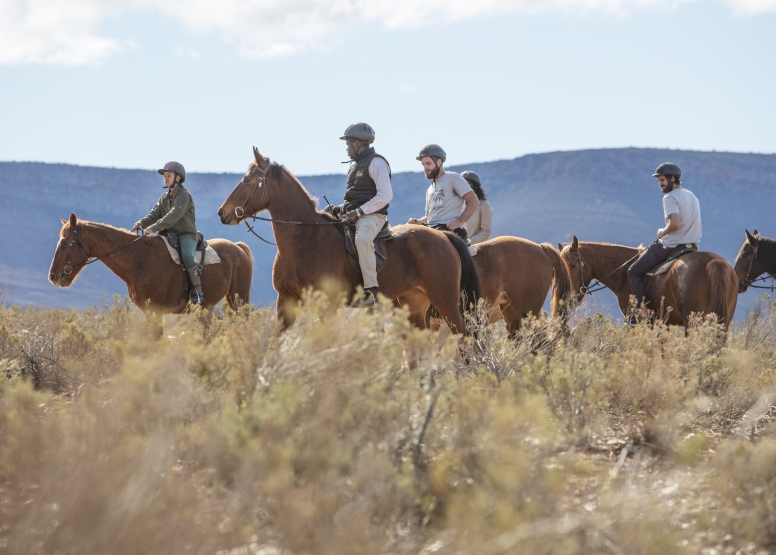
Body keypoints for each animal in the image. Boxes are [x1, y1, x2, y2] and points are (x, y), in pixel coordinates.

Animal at [48, 213, 253, 332]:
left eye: (65, 243)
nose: (53, 276)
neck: (138, 259)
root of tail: (238, 248)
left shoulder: (156, 311)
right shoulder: (148, 312)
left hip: (239, 301)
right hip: (209, 308)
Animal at [217, 146, 478, 334]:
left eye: (247, 180)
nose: (222, 212)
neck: (306, 240)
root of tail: (443, 235)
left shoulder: (328, 306)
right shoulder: (286, 301)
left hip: (445, 300)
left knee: (464, 338)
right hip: (414, 303)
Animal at [560, 236, 736, 330]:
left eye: (572, 265)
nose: (569, 299)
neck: (624, 272)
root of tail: (714, 263)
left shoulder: (634, 321)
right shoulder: (663, 323)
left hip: (692, 323)